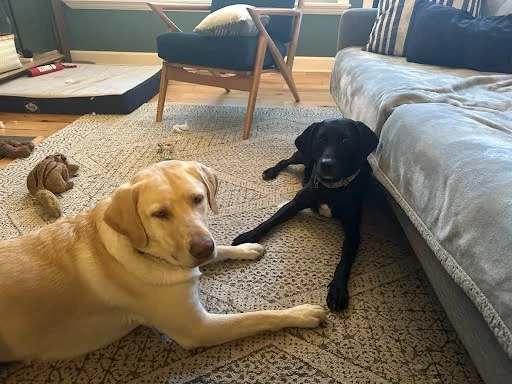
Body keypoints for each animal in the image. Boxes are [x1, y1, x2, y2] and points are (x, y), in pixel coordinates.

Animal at [234, 118, 378, 310]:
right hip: (303, 154)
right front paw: (248, 236)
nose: (325, 164)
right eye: (320, 139)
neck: (331, 188)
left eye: (345, 141)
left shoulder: (353, 232)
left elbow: (345, 261)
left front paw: (338, 289)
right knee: (286, 160)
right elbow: (269, 221)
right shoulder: (294, 204)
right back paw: (272, 171)